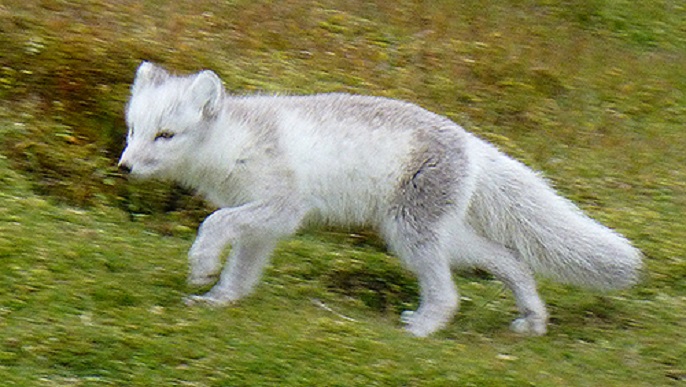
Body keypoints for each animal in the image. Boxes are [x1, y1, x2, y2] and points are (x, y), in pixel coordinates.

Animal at [119, 63, 644, 336]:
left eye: (165, 135)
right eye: (133, 130)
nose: (123, 166)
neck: (233, 143)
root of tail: (471, 142)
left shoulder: (282, 208)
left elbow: (214, 224)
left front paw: (201, 265)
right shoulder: (264, 225)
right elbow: (241, 269)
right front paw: (219, 298)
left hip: (410, 233)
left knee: (451, 293)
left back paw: (423, 327)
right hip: (442, 235)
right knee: (510, 259)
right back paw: (531, 318)